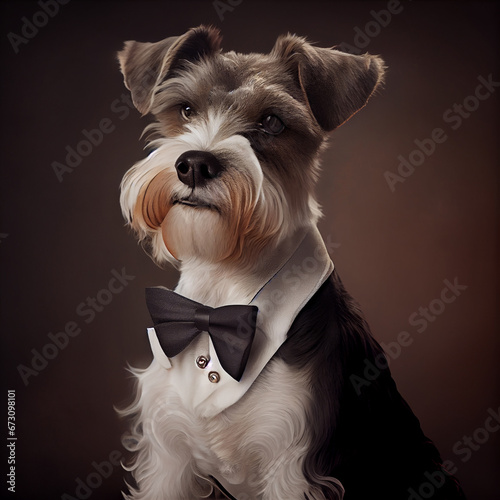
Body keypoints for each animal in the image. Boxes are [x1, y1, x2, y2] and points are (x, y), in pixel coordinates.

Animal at [116, 26, 464, 500]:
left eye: (271, 122)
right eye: (186, 108)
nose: (195, 164)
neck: (222, 289)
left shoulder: (294, 464)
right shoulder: (168, 457)